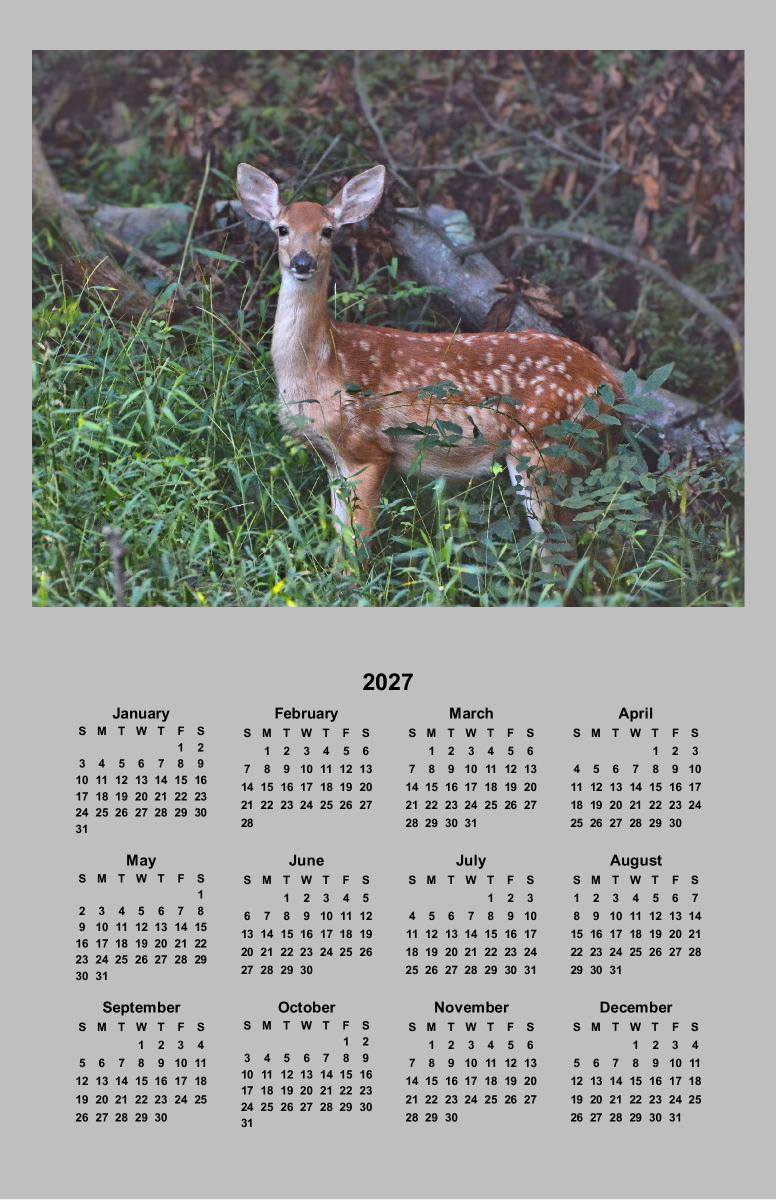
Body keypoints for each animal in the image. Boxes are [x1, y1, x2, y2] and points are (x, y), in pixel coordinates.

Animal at [236, 161, 622, 565]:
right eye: (282, 229)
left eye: (327, 230)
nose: (303, 261)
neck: (322, 369)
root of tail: (609, 381)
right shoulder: (330, 458)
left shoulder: (367, 449)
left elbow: (355, 553)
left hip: (545, 447)